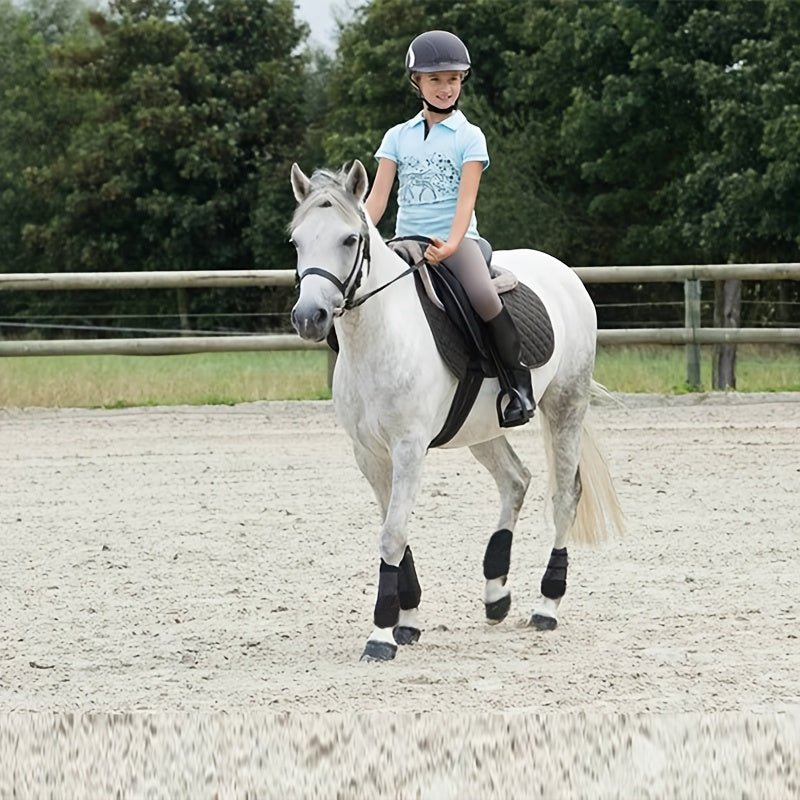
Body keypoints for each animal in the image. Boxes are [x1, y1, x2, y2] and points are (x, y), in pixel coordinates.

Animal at [289, 160, 624, 662]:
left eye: (349, 240)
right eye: (296, 241)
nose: (309, 317)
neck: (380, 335)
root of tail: (561, 271)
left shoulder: (408, 448)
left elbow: (392, 534)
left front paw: (381, 635)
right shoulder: (369, 453)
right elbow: (395, 531)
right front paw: (407, 621)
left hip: (566, 403)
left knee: (564, 497)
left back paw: (547, 605)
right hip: (481, 428)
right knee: (516, 480)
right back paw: (496, 593)